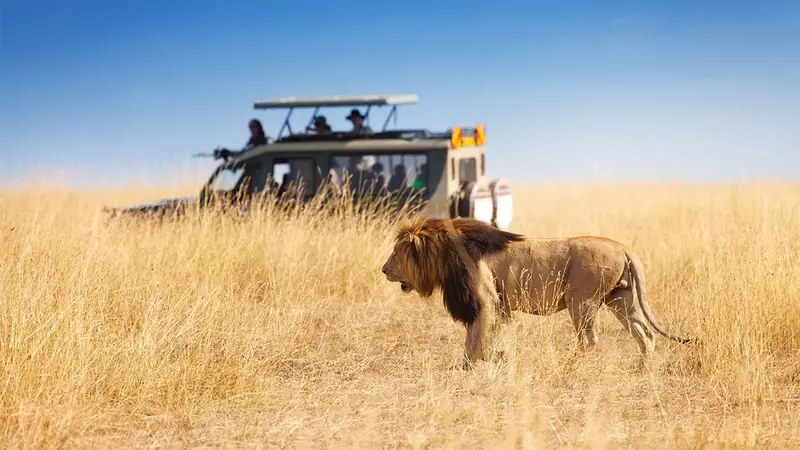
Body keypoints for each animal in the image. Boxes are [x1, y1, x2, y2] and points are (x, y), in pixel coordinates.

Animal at [380, 217, 695, 368]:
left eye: (396, 253)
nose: (383, 270)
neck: (444, 255)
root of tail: (624, 248)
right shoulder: (488, 306)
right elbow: (472, 341)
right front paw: (465, 366)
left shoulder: (486, 302)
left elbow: (478, 343)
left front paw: (495, 358)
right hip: (621, 300)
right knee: (646, 334)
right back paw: (644, 367)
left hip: (581, 301)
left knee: (589, 340)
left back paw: (570, 364)